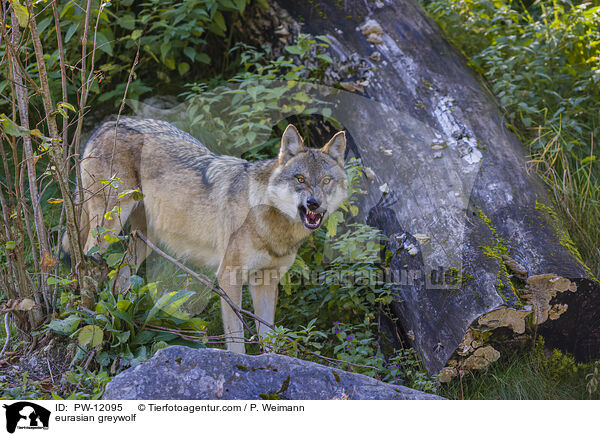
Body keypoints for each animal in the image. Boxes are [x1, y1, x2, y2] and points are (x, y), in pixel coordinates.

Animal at [64, 119, 346, 354]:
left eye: (326, 181)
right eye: (300, 179)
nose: (314, 204)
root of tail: (107, 124)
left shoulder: (267, 280)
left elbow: (269, 337)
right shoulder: (229, 277)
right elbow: (236, 339)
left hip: (143, 241)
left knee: (122, 277)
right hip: (108, 227)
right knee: (84, 262)